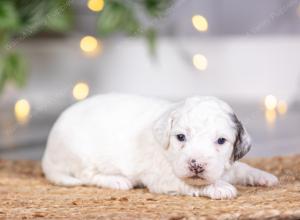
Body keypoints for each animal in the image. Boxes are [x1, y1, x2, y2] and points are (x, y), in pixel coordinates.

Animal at [41, 93, 278, 199]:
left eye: (221, 141)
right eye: (180, 137)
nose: (196, 165)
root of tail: (47, 153)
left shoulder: (227, 165)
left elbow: (242, 167)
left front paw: (264, 176)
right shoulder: (162, 178)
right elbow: (191, 184)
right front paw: (220, 187)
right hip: (81, 155)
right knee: (87, 176)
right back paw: (117, 180)